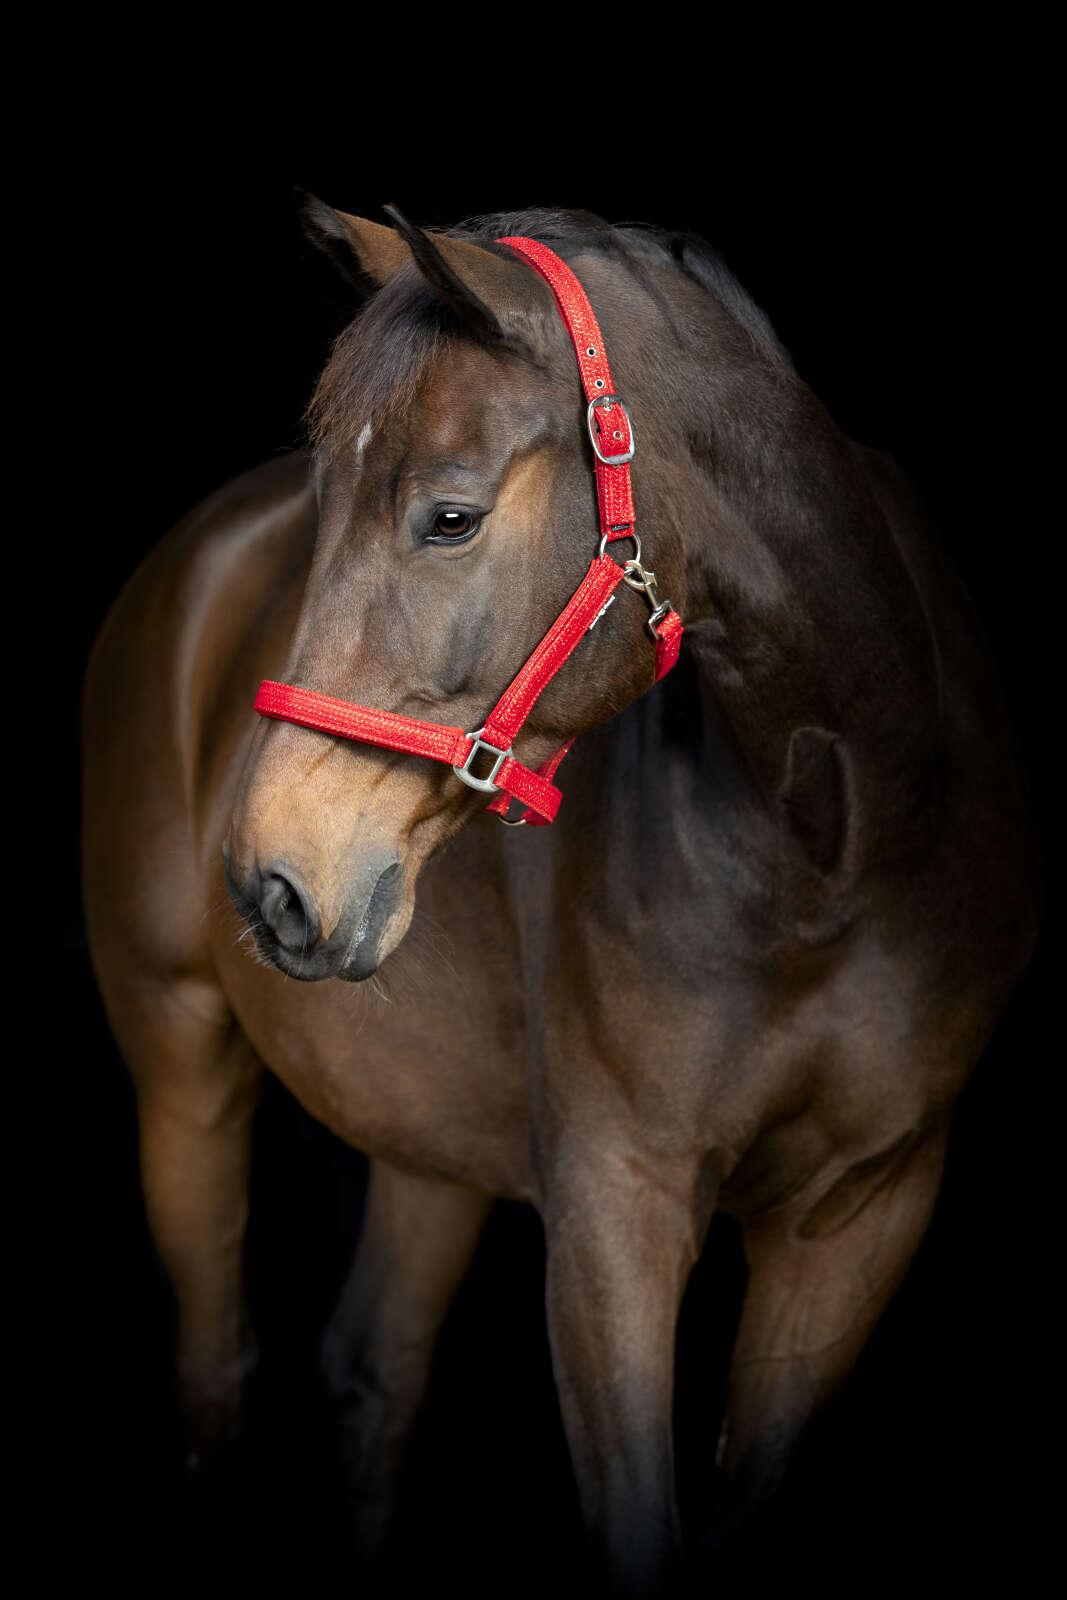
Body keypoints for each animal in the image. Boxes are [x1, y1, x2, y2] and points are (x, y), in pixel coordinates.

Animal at [81, 198, 1038, 1595]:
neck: (833, 847)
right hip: (181, 1059)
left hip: (424, 1132)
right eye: (322, 502)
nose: (270, 877)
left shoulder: (862, 1213)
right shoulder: (610, 1210)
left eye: (449, 518)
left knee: (374, 1376)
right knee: (218, 1381)